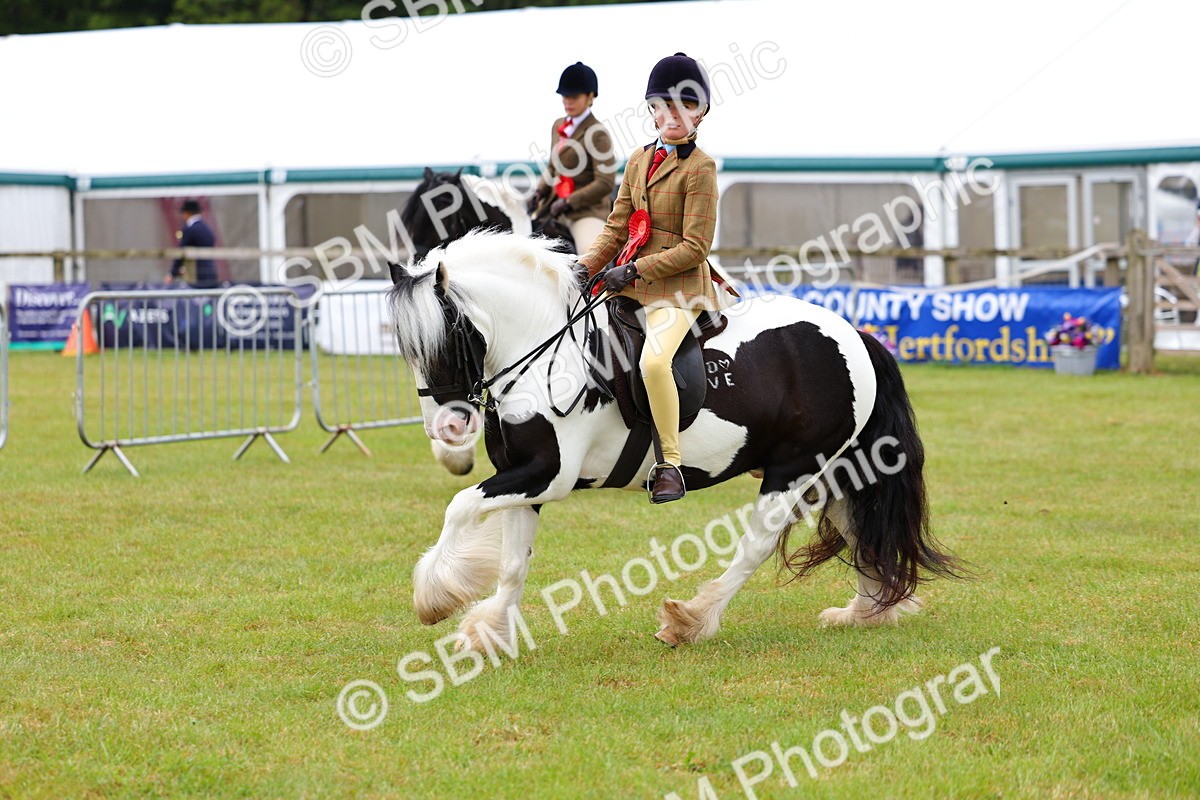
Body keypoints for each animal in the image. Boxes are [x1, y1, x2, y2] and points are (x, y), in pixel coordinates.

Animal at [388, 231, 960, 650]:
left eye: (449, 335)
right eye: (407, 350)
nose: (447, 429)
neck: (548, 351)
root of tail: (853, 334)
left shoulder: (547, 476)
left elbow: (461, 505)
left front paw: (435, 597)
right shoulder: (523, 478)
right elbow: (511, 562)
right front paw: (486, 632)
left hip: (794, 469)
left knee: (757, 545)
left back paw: (691, 620)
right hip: (832, 470)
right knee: (860, 528)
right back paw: (867, 611)